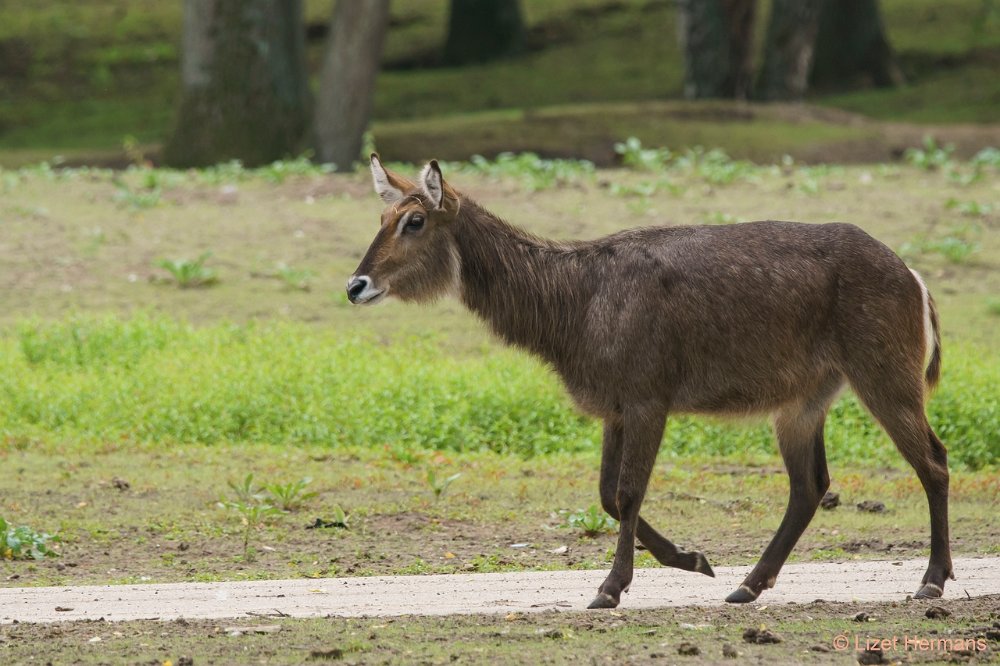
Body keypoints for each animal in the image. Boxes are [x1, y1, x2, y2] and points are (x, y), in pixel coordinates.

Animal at [350, 156, 952, 608]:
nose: (356, 285)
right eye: (381, 215)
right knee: (810, 485)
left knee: (934, 461)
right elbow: (607, 495)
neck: (574, 308)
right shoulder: (614, 406)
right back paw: (746, 586)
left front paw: (610, 589)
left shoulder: (647, 396)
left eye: (414, 221)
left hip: (885, 373)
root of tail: (915, 277)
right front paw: (695, 560)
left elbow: (627, 491)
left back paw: (930, 581)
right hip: (804, 399)